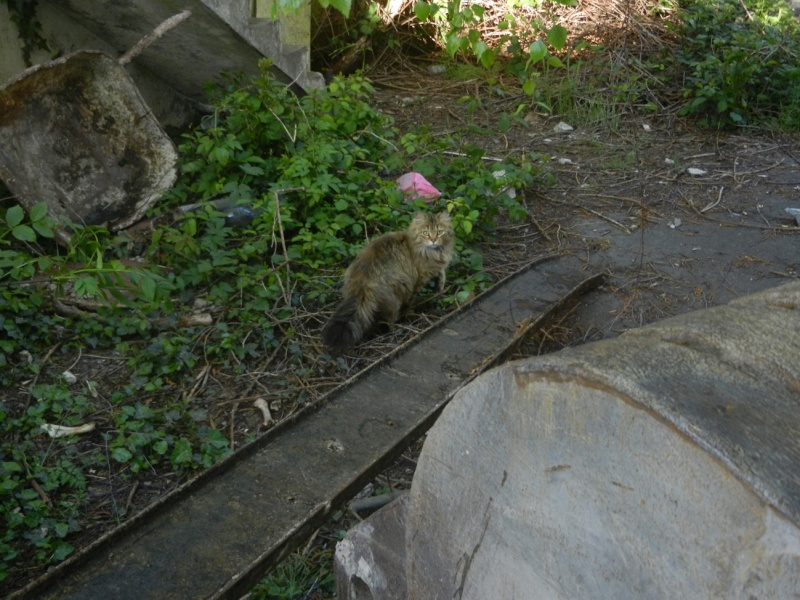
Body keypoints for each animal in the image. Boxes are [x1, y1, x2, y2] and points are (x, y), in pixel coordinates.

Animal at [320, 212, 456, 354]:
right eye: (425, 233)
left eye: (440, 232)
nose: (433, 240)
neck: (435, 252)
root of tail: (363, 277)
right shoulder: (420, 278)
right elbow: (412, 300)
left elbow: (441, 274)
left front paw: (440, 287)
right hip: (399, 291)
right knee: (391, 318)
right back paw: (397, 328)